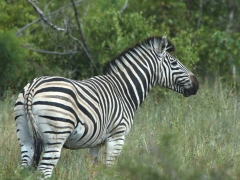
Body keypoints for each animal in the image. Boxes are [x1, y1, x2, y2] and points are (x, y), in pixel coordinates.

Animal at [13, 36, 199, 179]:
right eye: (174, 63)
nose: (196, 84)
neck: (124, 91)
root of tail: (33, 86)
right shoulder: (117, 136)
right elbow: (110, 169)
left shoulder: (95, 142)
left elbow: (93, 171)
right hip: (55, 135)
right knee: (44, 170)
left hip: (25, 136)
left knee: (24, 167)